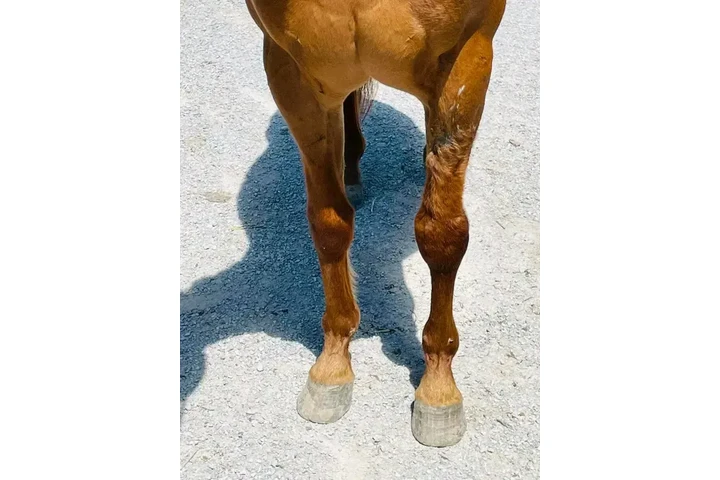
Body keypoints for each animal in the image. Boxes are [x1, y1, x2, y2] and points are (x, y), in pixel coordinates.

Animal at [244, 0, 506, 447]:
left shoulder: (466, 62)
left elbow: (442, 233)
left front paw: (438, 389)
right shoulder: (292, 75)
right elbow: (329, 222)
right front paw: (332, 366)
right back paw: (351, 167)